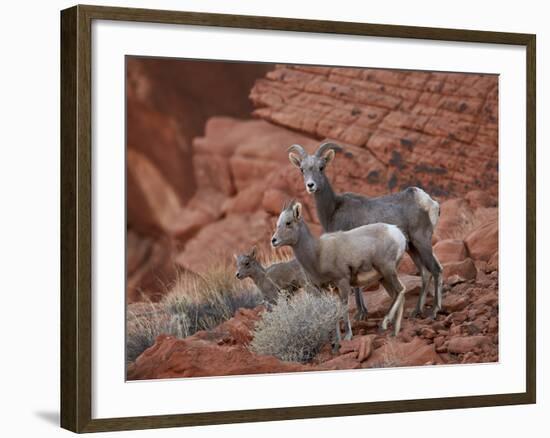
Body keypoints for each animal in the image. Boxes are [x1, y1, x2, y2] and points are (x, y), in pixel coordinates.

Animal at [272, 200, 410, 344]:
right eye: (278, 224)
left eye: (288, 223)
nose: (273, 240)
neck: (318, 253)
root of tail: (397, 232)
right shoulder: (327, 290)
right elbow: (332, 311)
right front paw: (336, 341)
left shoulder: (342, 283)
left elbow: (343, 308)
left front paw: (348, 336)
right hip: (383, 277)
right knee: (396, 294)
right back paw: (395, 331)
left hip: (387, 270)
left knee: (401, 290)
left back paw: (384, 323)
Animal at [288, 143, 444, 318]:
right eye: (302, 169)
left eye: (321, 167)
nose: (311, 185)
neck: (333, 209)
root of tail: (429, 201)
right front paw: (363, 312)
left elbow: (356, 286)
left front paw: (360, 314)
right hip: (412, 247)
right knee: (425, 272)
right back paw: (416, 311)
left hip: (421, 241)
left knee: (435, 269)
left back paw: (434, 311)